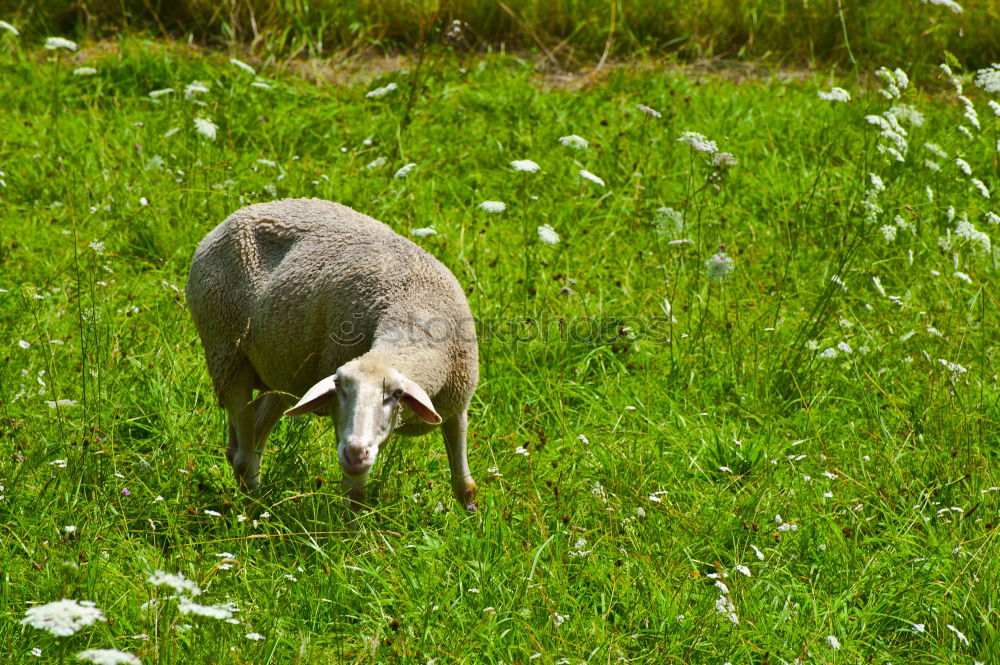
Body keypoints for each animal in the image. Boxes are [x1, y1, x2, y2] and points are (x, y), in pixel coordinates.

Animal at [185, 197, 480, 508]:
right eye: (339, 389)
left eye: (396, 394)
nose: (355, 453)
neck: (413, 309)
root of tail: (241, 213)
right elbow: (355, 494)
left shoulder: (457, 404)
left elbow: (465, 485)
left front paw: (471, 513)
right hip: (226, 352)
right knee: (244, 456)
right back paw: (256, 509)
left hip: (282, 369)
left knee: (251, 440)